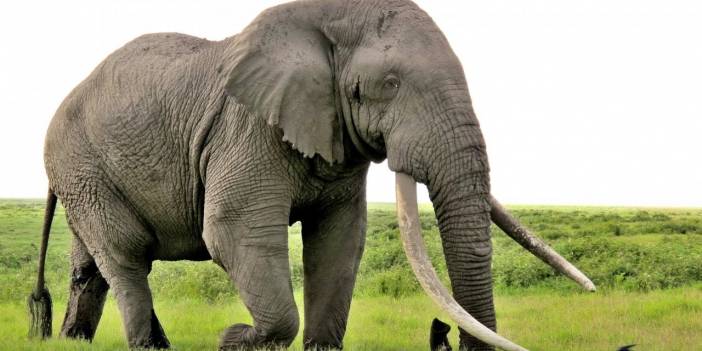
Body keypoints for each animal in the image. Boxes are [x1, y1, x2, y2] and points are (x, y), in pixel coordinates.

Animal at [30, 0, 596, 351]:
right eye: (389, 85)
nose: (444, 336)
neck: (326, 21)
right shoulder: (247, 128)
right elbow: (234, 232)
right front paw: (233, 338)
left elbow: (339, 243)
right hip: (82, 166)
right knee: (126, 256)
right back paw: (150, 345)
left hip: (85, 177)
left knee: (90, 267)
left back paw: (75, 340)